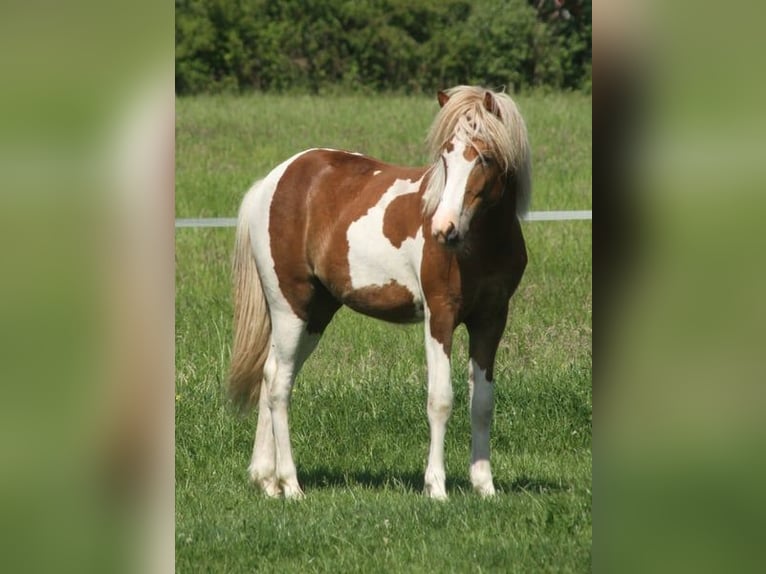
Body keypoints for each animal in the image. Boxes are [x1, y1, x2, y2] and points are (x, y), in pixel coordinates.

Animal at [229, 85, 531, 500]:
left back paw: (266, 480)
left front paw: (485, 486)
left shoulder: (492, 318)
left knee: (269, 372)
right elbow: (440, 400)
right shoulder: (440, 315)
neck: (481, 244)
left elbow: (482, 402)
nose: (443, 229)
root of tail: (274, 180)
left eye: (485, 157)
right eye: (446, 156)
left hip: (316, 315)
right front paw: (436, 488)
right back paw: (291, 485)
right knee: (278, 385)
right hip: (290, 306)